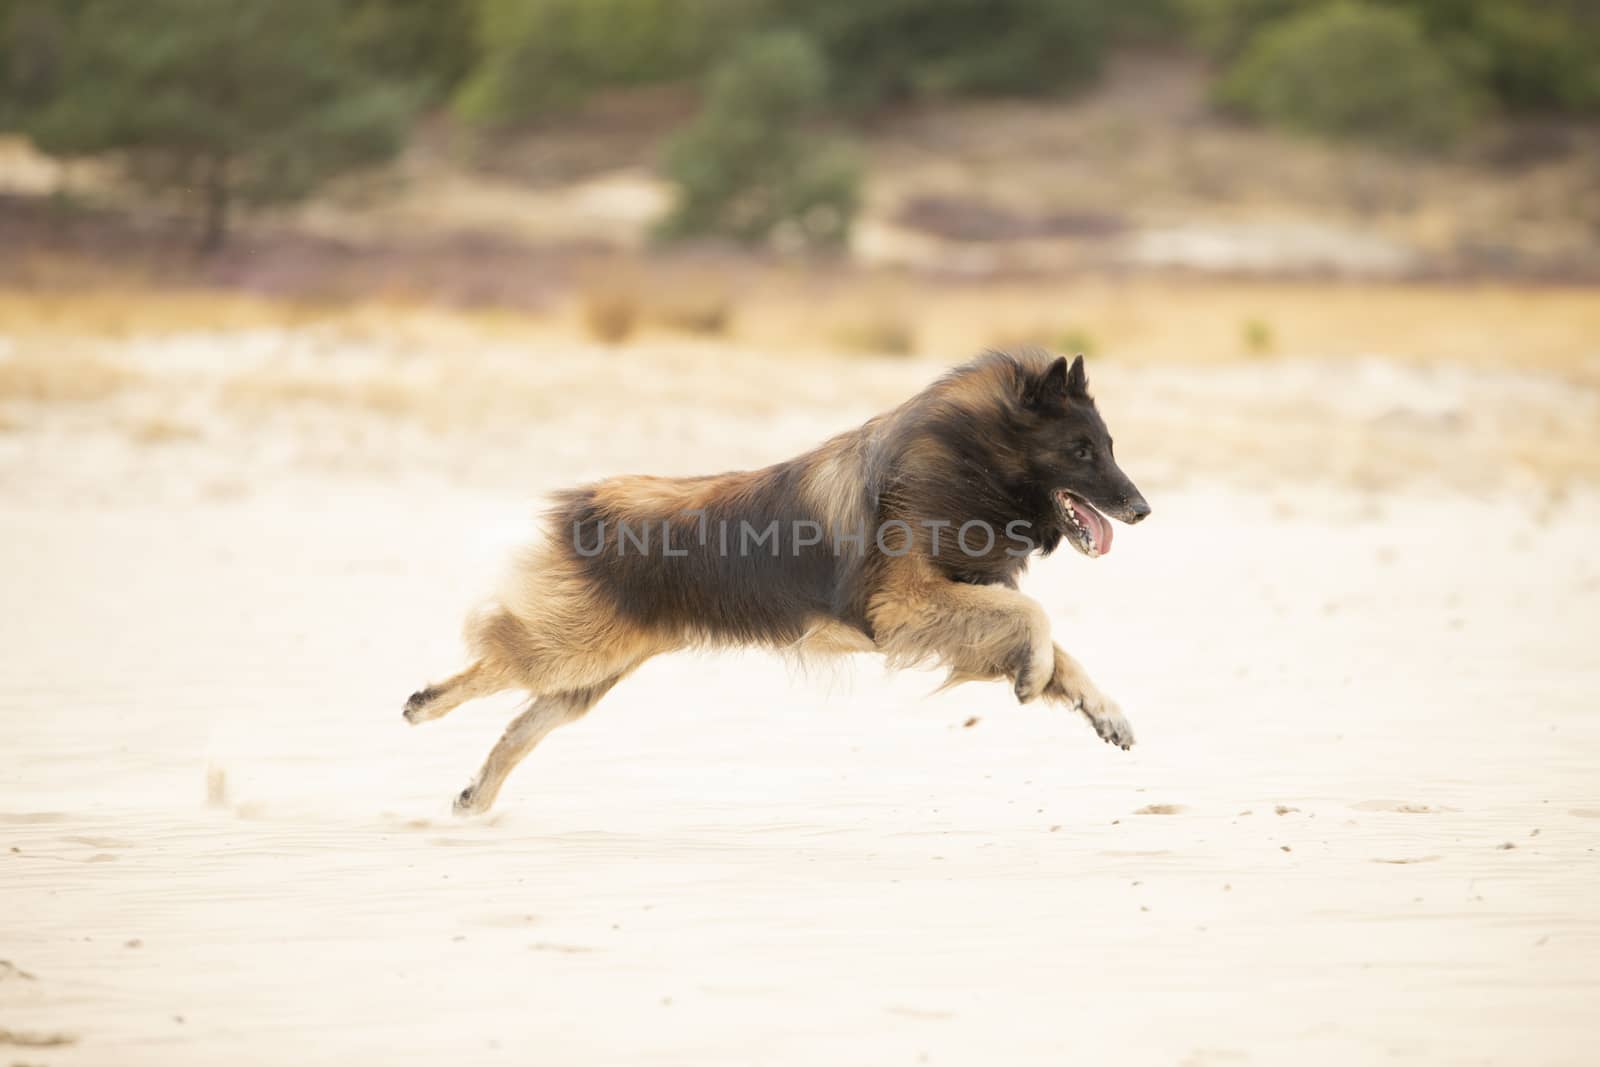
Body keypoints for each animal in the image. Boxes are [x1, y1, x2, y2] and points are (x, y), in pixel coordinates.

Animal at [403, 347, 1152, 812]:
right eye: (1081, 450)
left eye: (1110, 446)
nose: (1143, 509)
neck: (968, 457)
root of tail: (588, 502)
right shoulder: (907, 606)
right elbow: (1039, 623)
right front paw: (1035, 676)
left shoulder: (964, 600)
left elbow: (1057, 645)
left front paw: (1103, 711)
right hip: (575, 649)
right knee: (494, 659)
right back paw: (425, 705)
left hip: (592, 672)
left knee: (521, 724)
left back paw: (475, 796)